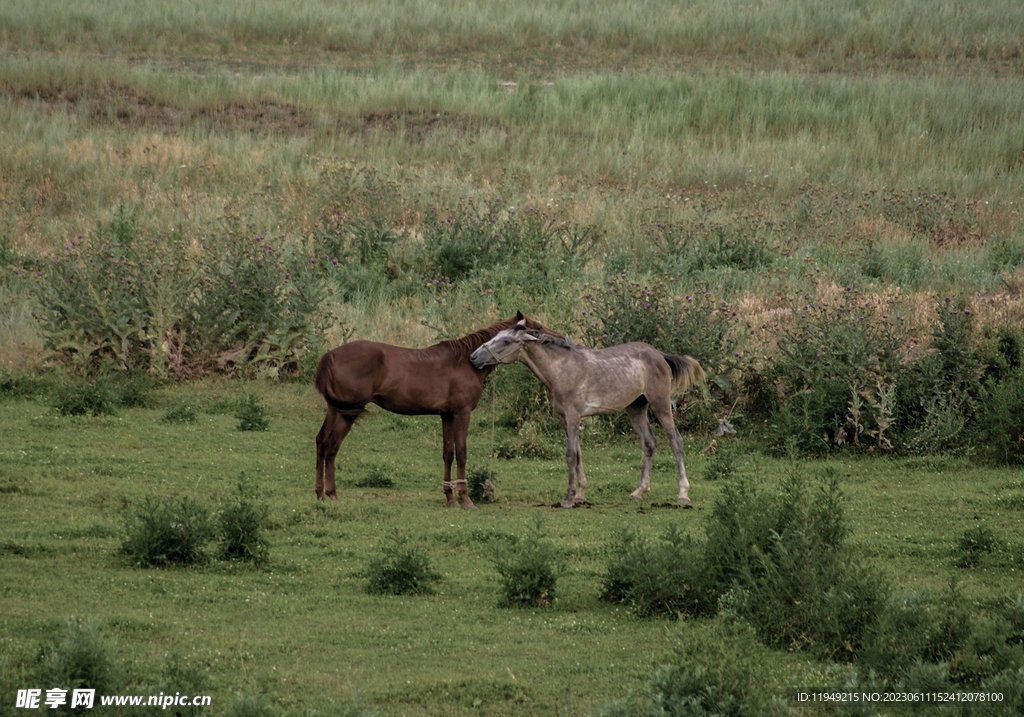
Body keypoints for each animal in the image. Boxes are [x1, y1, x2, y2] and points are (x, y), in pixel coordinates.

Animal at [313, 311, 548, 505]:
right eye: (536, 329)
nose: (552, 338)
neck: (466, 361)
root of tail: (329, 356)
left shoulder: (447, 415)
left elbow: (448, 453)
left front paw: (450, 497)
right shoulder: (462, 413)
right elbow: (461, 453)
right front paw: (465, 498)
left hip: (334, 410)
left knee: (321, 442)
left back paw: (320, 492)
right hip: (346, 413)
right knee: (331, 445)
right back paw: (332, 494)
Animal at [471, 319, 704, 510]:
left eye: (506, 340)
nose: (474, 357)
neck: (561, 370)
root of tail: (661, 355)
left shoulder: (573, 415)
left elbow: (570, 455)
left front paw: (568, 498)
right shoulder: (564, 418)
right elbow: (578, 454)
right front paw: (580, 495)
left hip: (660, 404)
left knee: (676, 442)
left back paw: (683, 494)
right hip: (636, 407)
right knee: (648, 443)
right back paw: (639, 491)